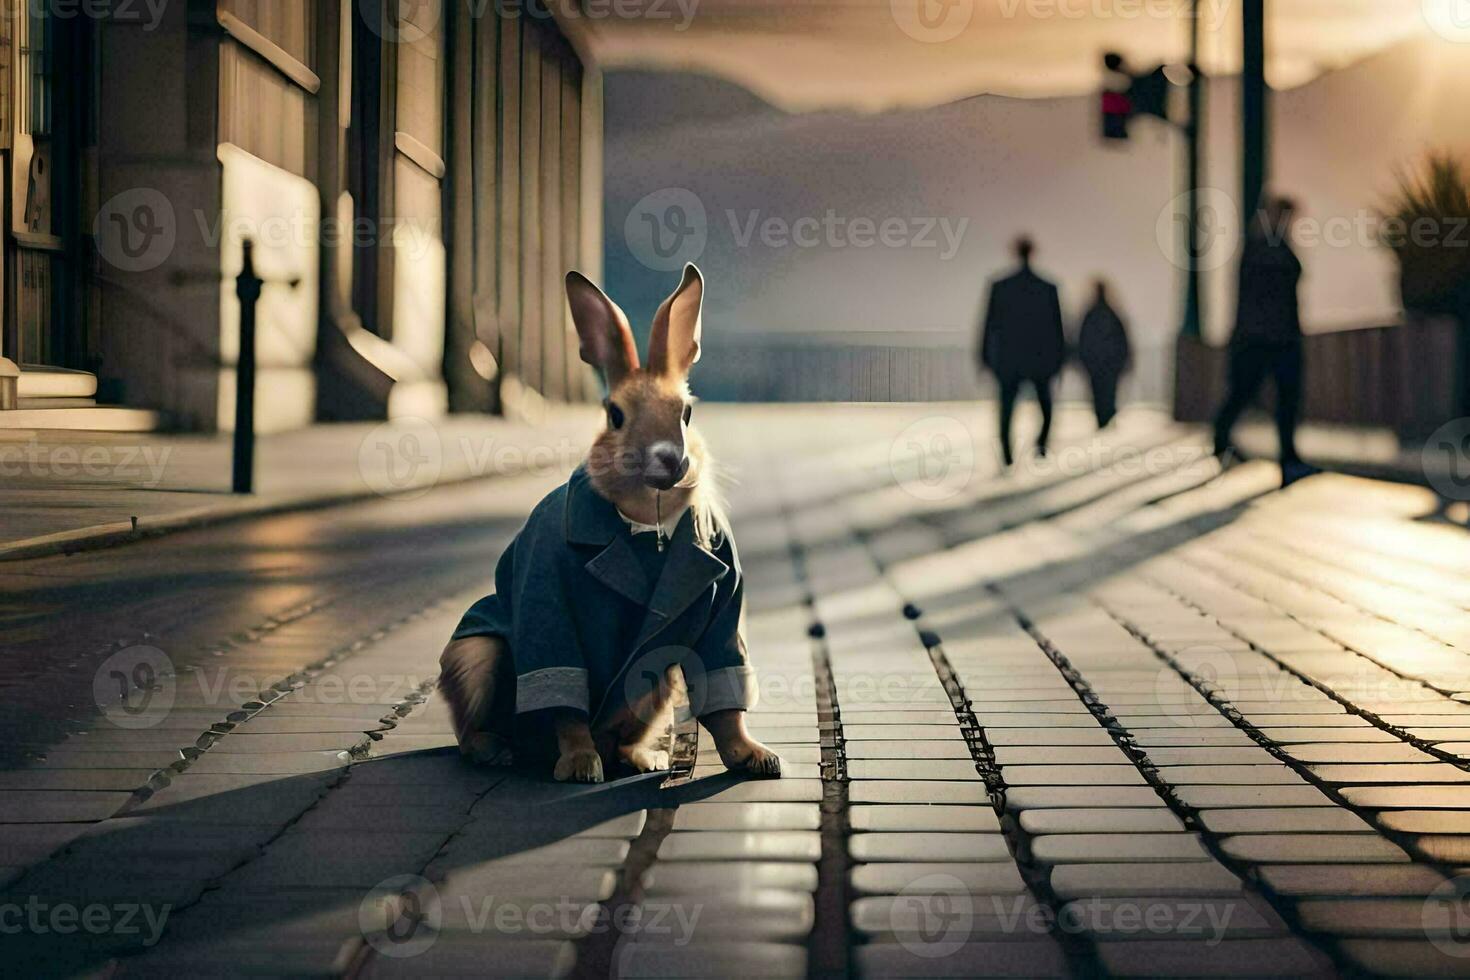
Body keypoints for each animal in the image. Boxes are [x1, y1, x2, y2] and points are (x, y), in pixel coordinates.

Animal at [435, 264, 782, 787]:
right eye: (615, 415)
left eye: (686, 413)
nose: (670, 460)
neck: (648, 523)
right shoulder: (550, 611)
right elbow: (566, 705)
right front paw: (581, 767)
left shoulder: (722, 607)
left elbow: (726, 704)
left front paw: (756, 758)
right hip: (476, 657)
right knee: (472, 727)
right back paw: (496, 752)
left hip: (654, 681)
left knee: (624, 736)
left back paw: (645, 759)